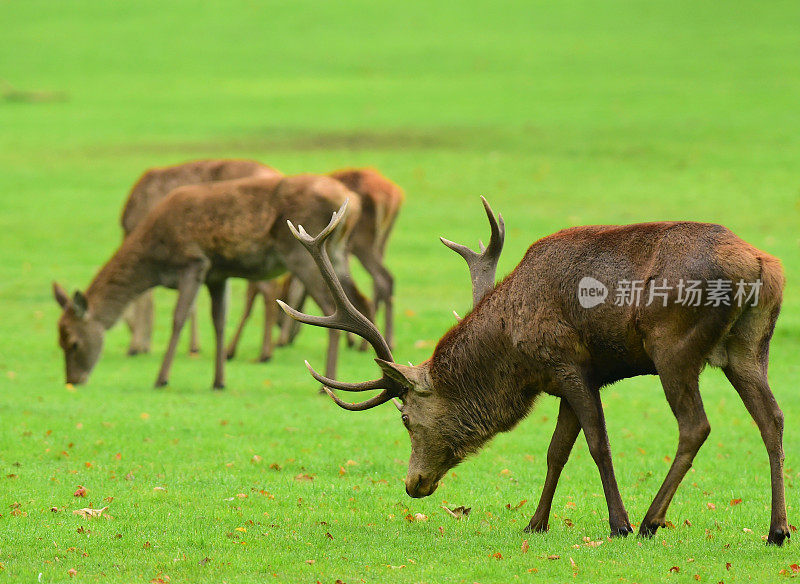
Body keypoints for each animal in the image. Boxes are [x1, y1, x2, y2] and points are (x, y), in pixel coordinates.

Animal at [53, 176, 372, 390]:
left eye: (73, 342)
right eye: (60, 341)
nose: (72, 380)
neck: (155, 257)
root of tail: (351, 201)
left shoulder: (193, 262)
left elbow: (179, 318)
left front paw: (161, 378)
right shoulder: (218, 274)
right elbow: (219, 321)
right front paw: (219, 381)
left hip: (301, 255)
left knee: (330, 309)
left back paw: (325, 385)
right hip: (338, 253)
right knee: (359, 300)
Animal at [119, 156, 282, 356]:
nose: (140, 344)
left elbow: (146, 296)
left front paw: (136, 346)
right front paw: (193, 345)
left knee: (266, 288)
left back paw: (261, 353)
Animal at [280, 198, 788, 544]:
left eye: (404, 418)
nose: (413, 484)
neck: (514, 353)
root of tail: (763, 264)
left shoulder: (569, 363)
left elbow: (597, 444)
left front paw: (617, 523)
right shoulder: (567, 380)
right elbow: (556, 451)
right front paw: (535, 522)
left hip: (673, 346)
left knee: (696, 426)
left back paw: (649, 521)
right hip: (749, 347)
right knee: (772, 420)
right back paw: (777, 530)